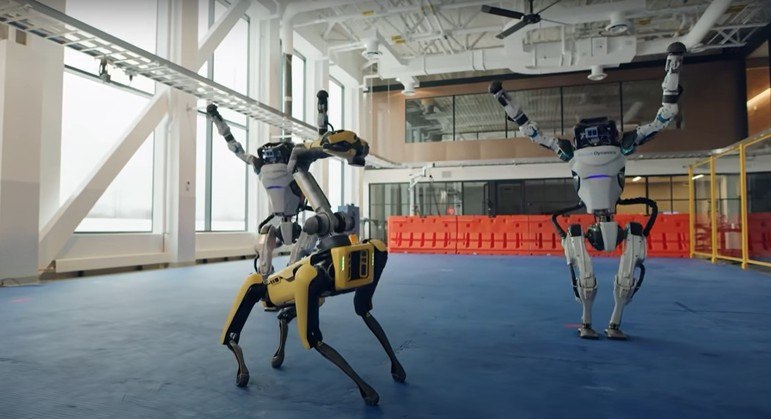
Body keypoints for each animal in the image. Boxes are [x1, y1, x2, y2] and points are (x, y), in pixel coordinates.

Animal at [208, 91, 408, 406]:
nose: (359, 150)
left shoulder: (365, 265)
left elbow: (364, 313)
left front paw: (396, 369)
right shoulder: (309, 279)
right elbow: (316, 338)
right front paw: (368, 390)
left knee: (284, 303)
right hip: (275, 261)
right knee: (255, 280)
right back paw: (246, 362)